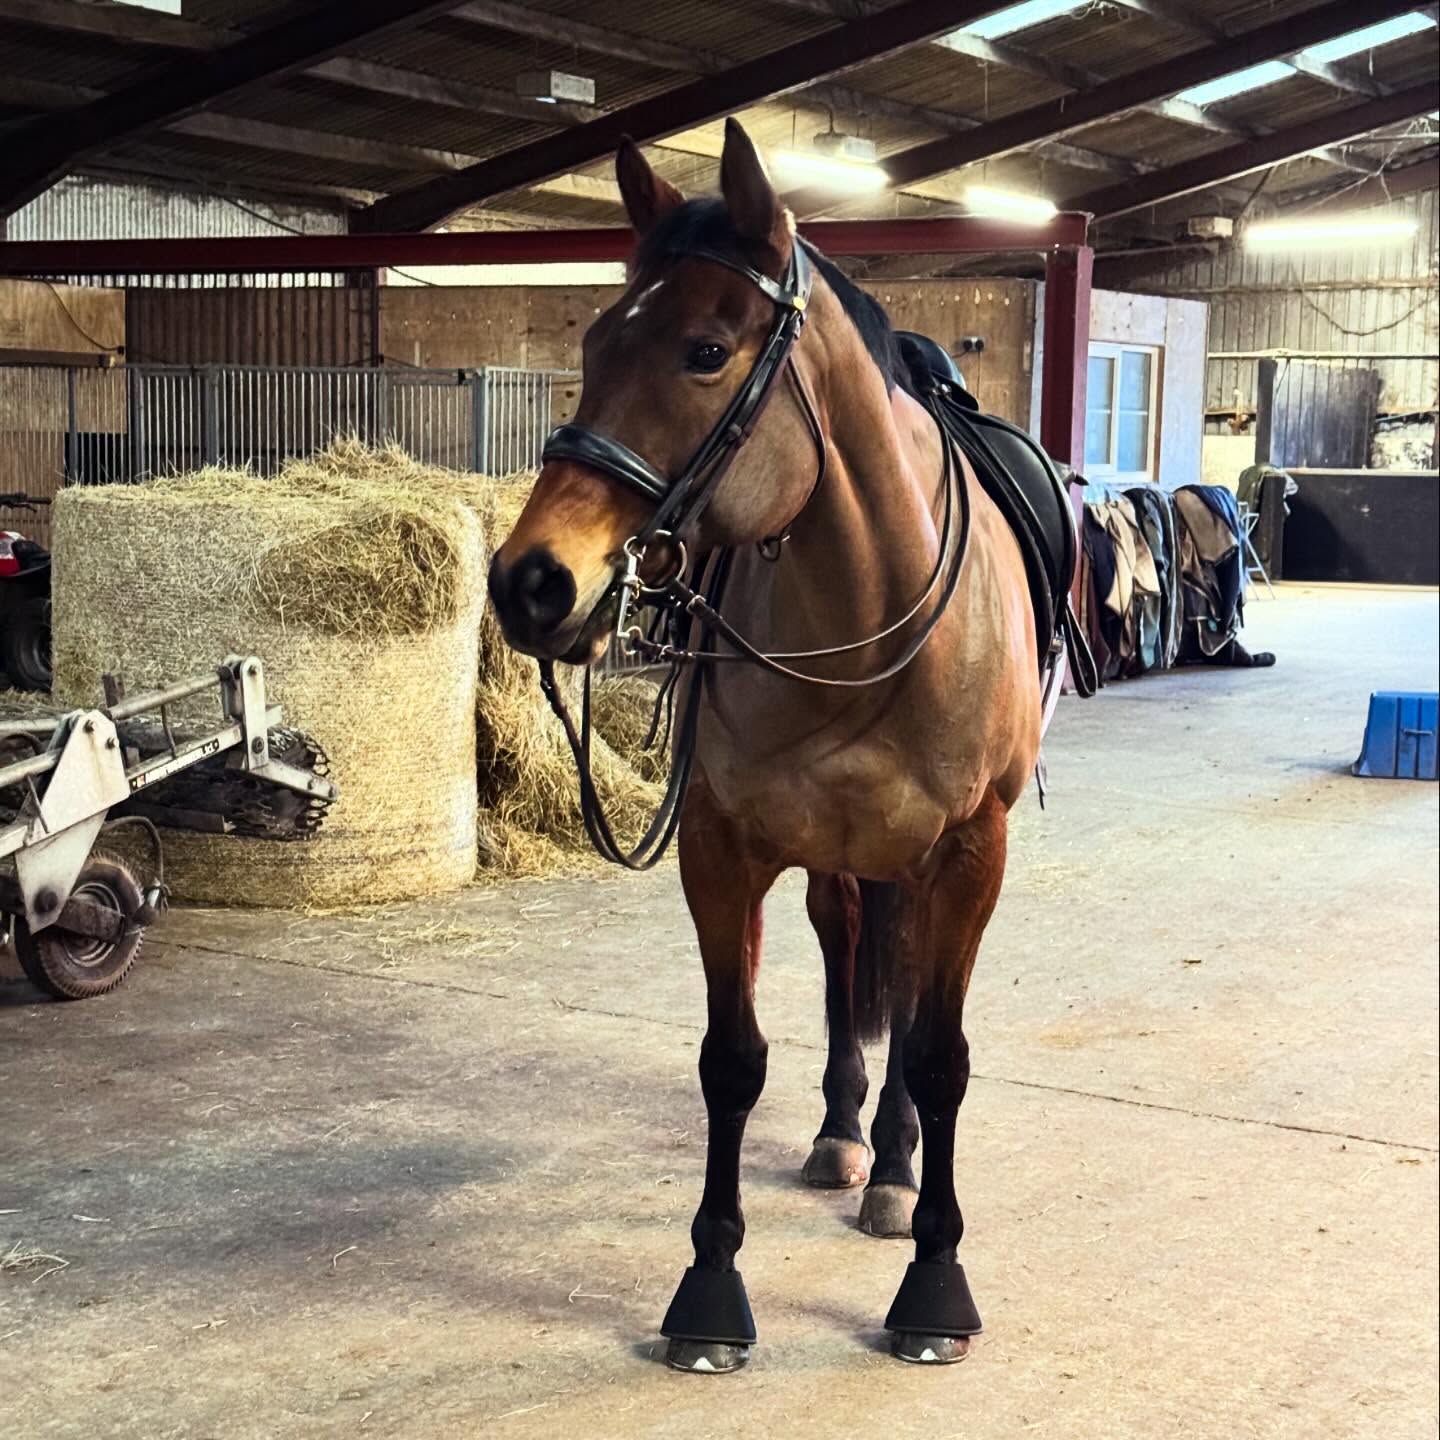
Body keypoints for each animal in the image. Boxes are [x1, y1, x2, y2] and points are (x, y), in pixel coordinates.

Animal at [488, 118, 1062, 1373]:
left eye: (706, 350)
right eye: (596, 339)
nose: (532, 582)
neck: (868, 611)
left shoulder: (971, 851)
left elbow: (940, 1054)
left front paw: (933, 1285)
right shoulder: (723, 847)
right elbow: (732, 1057)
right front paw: (709, 1291)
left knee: (901, 989)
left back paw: (891, 1167)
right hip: (841, 857)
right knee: (852, 959)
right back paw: (848, 1137)